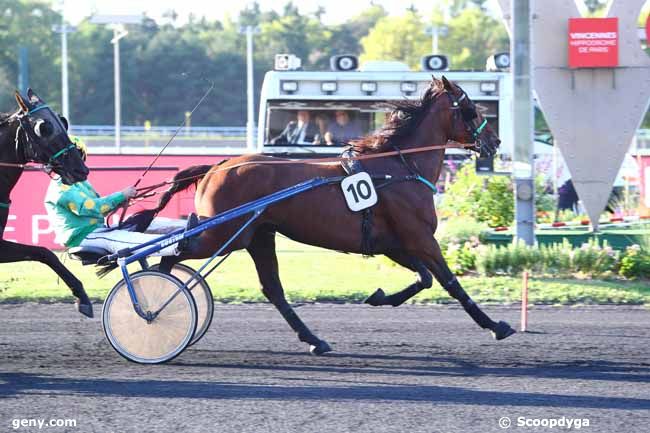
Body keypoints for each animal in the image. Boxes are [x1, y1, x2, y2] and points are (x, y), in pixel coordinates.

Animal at [135, 77, 512, 354]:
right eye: (471, 109)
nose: (495, 142)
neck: (400, 166)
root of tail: (218, 165)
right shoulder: (420, 238)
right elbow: (450, 282)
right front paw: (496, 326)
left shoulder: (394, 243)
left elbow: (425, 279)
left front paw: (379, 297)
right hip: (225, 234)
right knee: (170, 256)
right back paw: (152, 306)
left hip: (258, 235)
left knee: (272, 288)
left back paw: (315, 340)